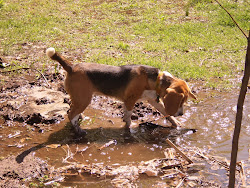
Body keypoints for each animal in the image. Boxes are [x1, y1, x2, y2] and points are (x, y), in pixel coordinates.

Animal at [46, 47, 196, 135]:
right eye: (181, 101)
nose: (181, 114)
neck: (156, 79)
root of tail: (71, 67)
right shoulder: (130, 101)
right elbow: (128, 117)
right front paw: (130, 128)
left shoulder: (153, 100)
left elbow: (166, 112)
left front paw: (176, 124)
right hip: (84, 99)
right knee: (70, 115)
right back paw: (78, 130)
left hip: (79, 98)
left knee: (72, 109)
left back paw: (81, 118)